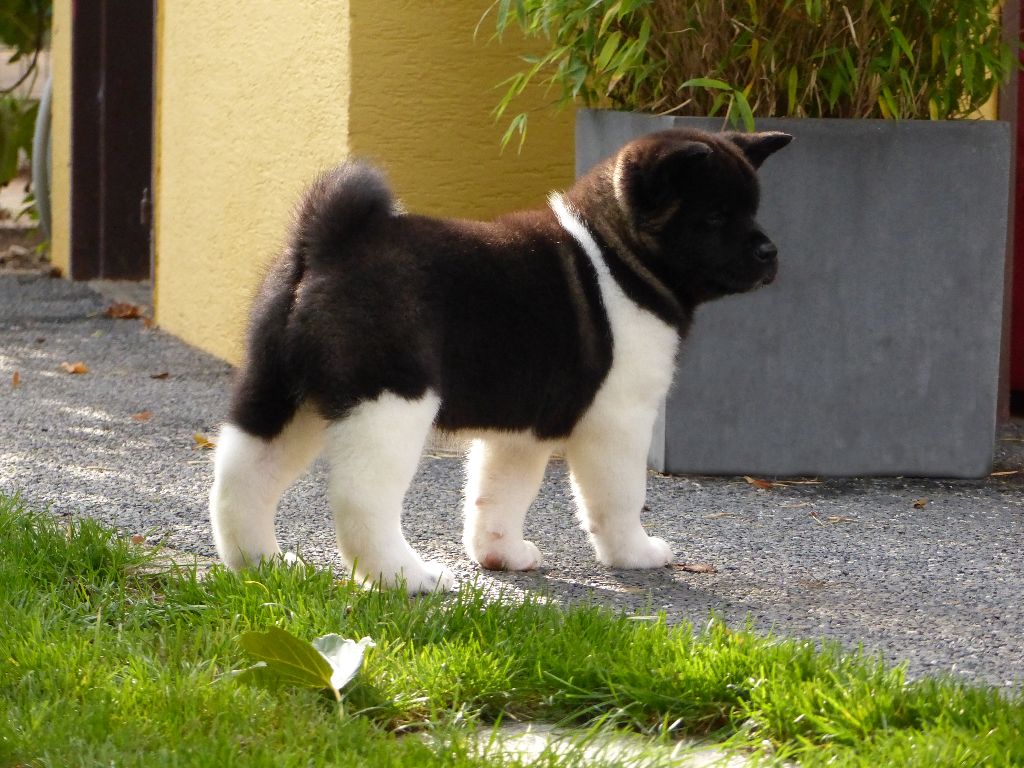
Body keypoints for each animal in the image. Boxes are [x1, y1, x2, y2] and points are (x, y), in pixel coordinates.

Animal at [209, 127, 791, 593]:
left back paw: (263, 564)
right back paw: (408, 577)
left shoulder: (522, 430)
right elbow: (620, 496)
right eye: (714, 216)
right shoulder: (619, 420)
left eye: (752, 210)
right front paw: (635, 554)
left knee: (241, 479)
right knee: (361, 499)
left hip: (280, 393)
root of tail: (331, 241)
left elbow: (498, 494)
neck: (617, 254)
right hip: (388, 404)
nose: (771, 253)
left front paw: (500, 554)